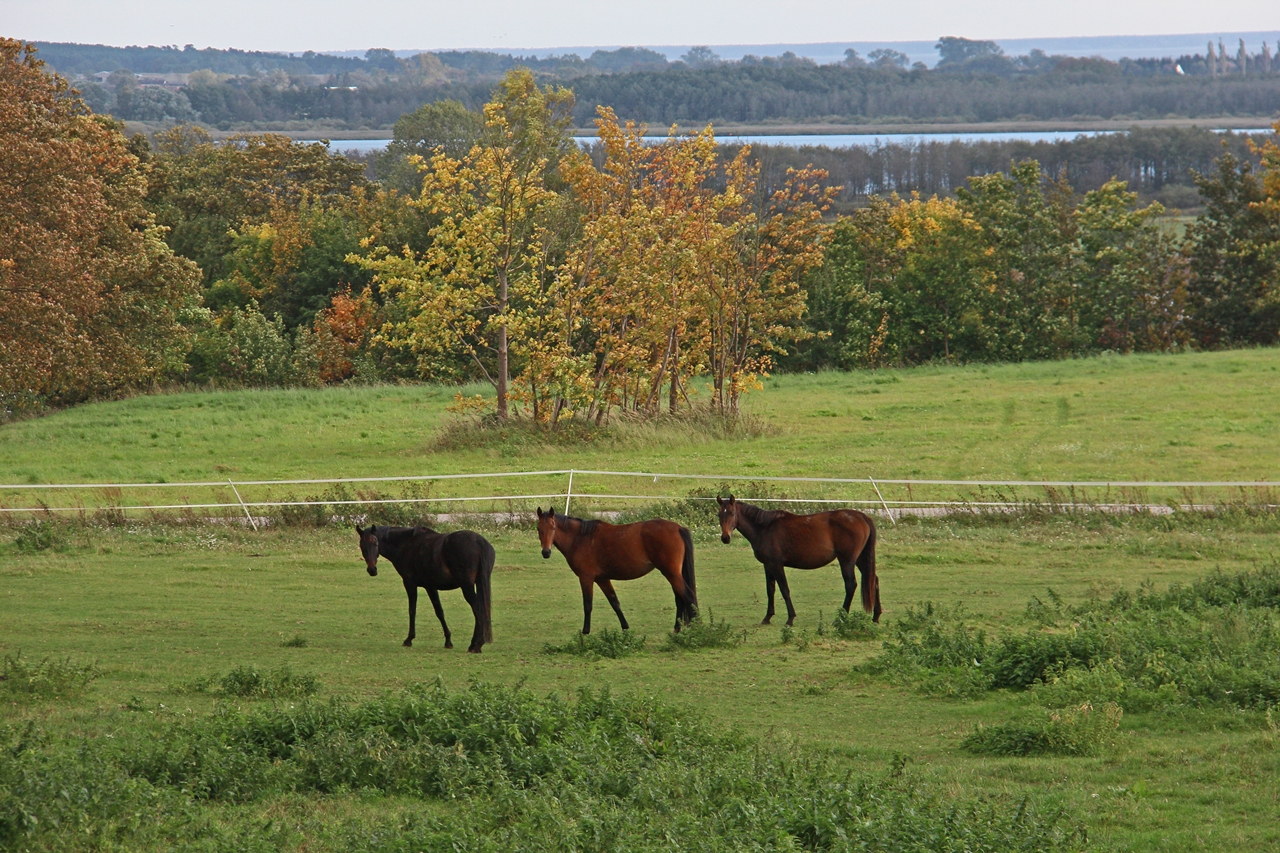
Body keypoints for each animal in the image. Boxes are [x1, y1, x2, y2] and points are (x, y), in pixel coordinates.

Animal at [355, 517, 494, 650]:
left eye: (375, 543)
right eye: (362, 546)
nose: (372, 570)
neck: (406, 544)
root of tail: (478, 541)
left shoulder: (410, 583)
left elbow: (412, 610)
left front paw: (409, 639)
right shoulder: (430, 586)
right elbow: (439, 611)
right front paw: (448, 641)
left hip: (467, 586)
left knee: (477, 609)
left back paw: (476, 644)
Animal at [532, 504, 701, 630]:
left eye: (553, 528)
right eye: (539, 529)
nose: (546, 552)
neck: (580, 537)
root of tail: (678, 528)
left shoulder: (586, 578)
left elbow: (588, 604)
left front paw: (585, 632)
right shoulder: (602, 579)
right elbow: (614, 602)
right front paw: (625, 627)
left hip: (671, 572)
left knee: (688, 596)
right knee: (680, 598)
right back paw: (677, 629)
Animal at [716, 491, 885, 625]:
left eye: (731, 513)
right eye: (719, 514)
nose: (725, 538)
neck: (764, 528)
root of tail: (862, 516)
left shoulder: (776, 565)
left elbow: (784, 590)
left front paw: (790, 618)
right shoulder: (768, 565)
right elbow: (770, 590)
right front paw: (767, 617)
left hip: (847, 560)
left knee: (851, 585)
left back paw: (841, 617)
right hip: (860, 559)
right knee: (874, 580)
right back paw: (876, 616)